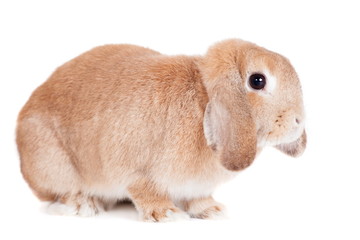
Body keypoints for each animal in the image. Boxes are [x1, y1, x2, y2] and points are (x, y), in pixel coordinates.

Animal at [15, 39, 306, 221]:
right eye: (257, 80)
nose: (298, 122)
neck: (202, 100)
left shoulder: (196, 187)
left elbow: (198, 198)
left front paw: (211, 211)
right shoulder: (134, 169)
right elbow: (144, 189)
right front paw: (165, 214)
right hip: (53, 162)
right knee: (60, 193)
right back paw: (83, 205)